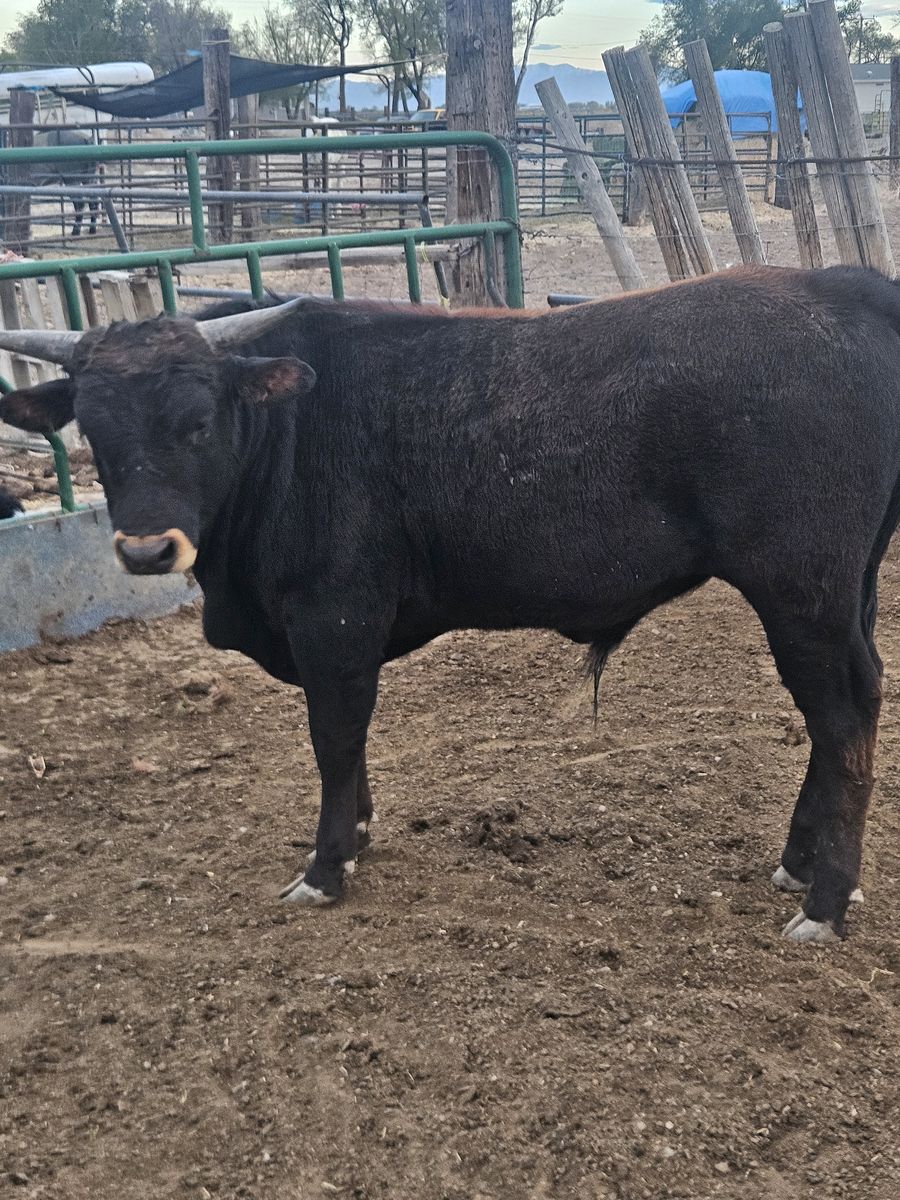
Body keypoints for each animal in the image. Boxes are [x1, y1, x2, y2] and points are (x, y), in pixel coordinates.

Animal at [0, 264, 896, 945]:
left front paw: (326, 865)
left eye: (197, 420)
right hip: (841, 595)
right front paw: (358, 839)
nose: (147, 551)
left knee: (842, 718)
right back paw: (799, 866)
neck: (285, 432)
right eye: (93, 428)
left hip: (801, 592)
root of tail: (837, 283)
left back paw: (825, 903)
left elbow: (335, 739)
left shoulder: (335, 622)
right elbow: (348, 749)